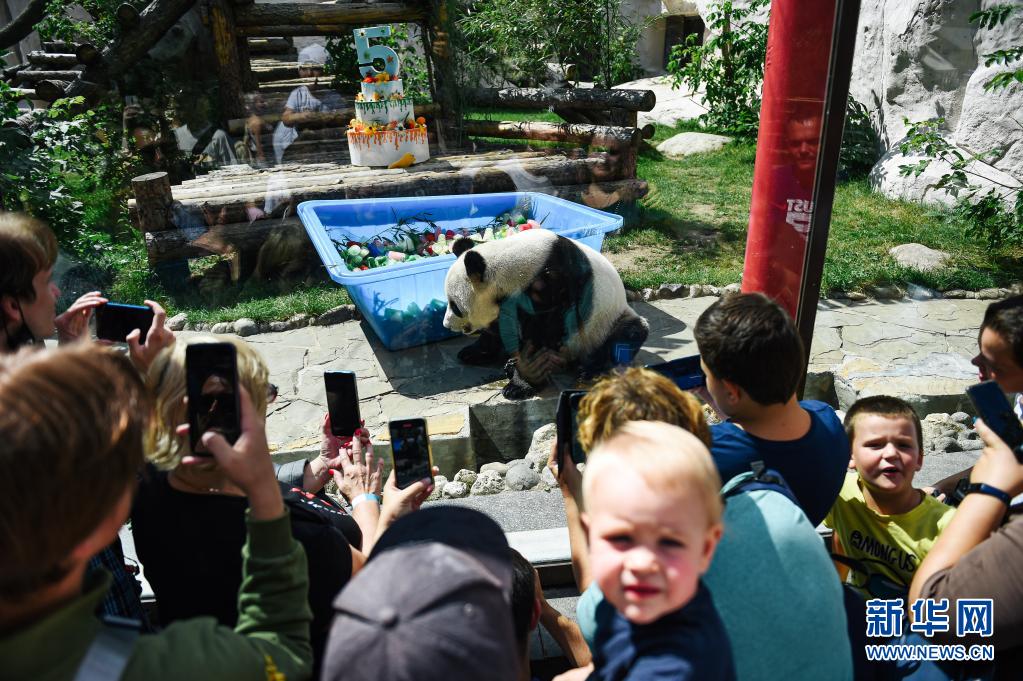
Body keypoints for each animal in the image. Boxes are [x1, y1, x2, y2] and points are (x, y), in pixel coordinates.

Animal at [439, 228, 646, 398]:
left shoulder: (554, 287)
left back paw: (589, 369)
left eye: (455, 306)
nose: (446, 324)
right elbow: (498, 329)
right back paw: (510, 364)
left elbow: (542, 334)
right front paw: (473, 352)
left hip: (607, 321)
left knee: (627, 335)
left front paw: (519, 385)